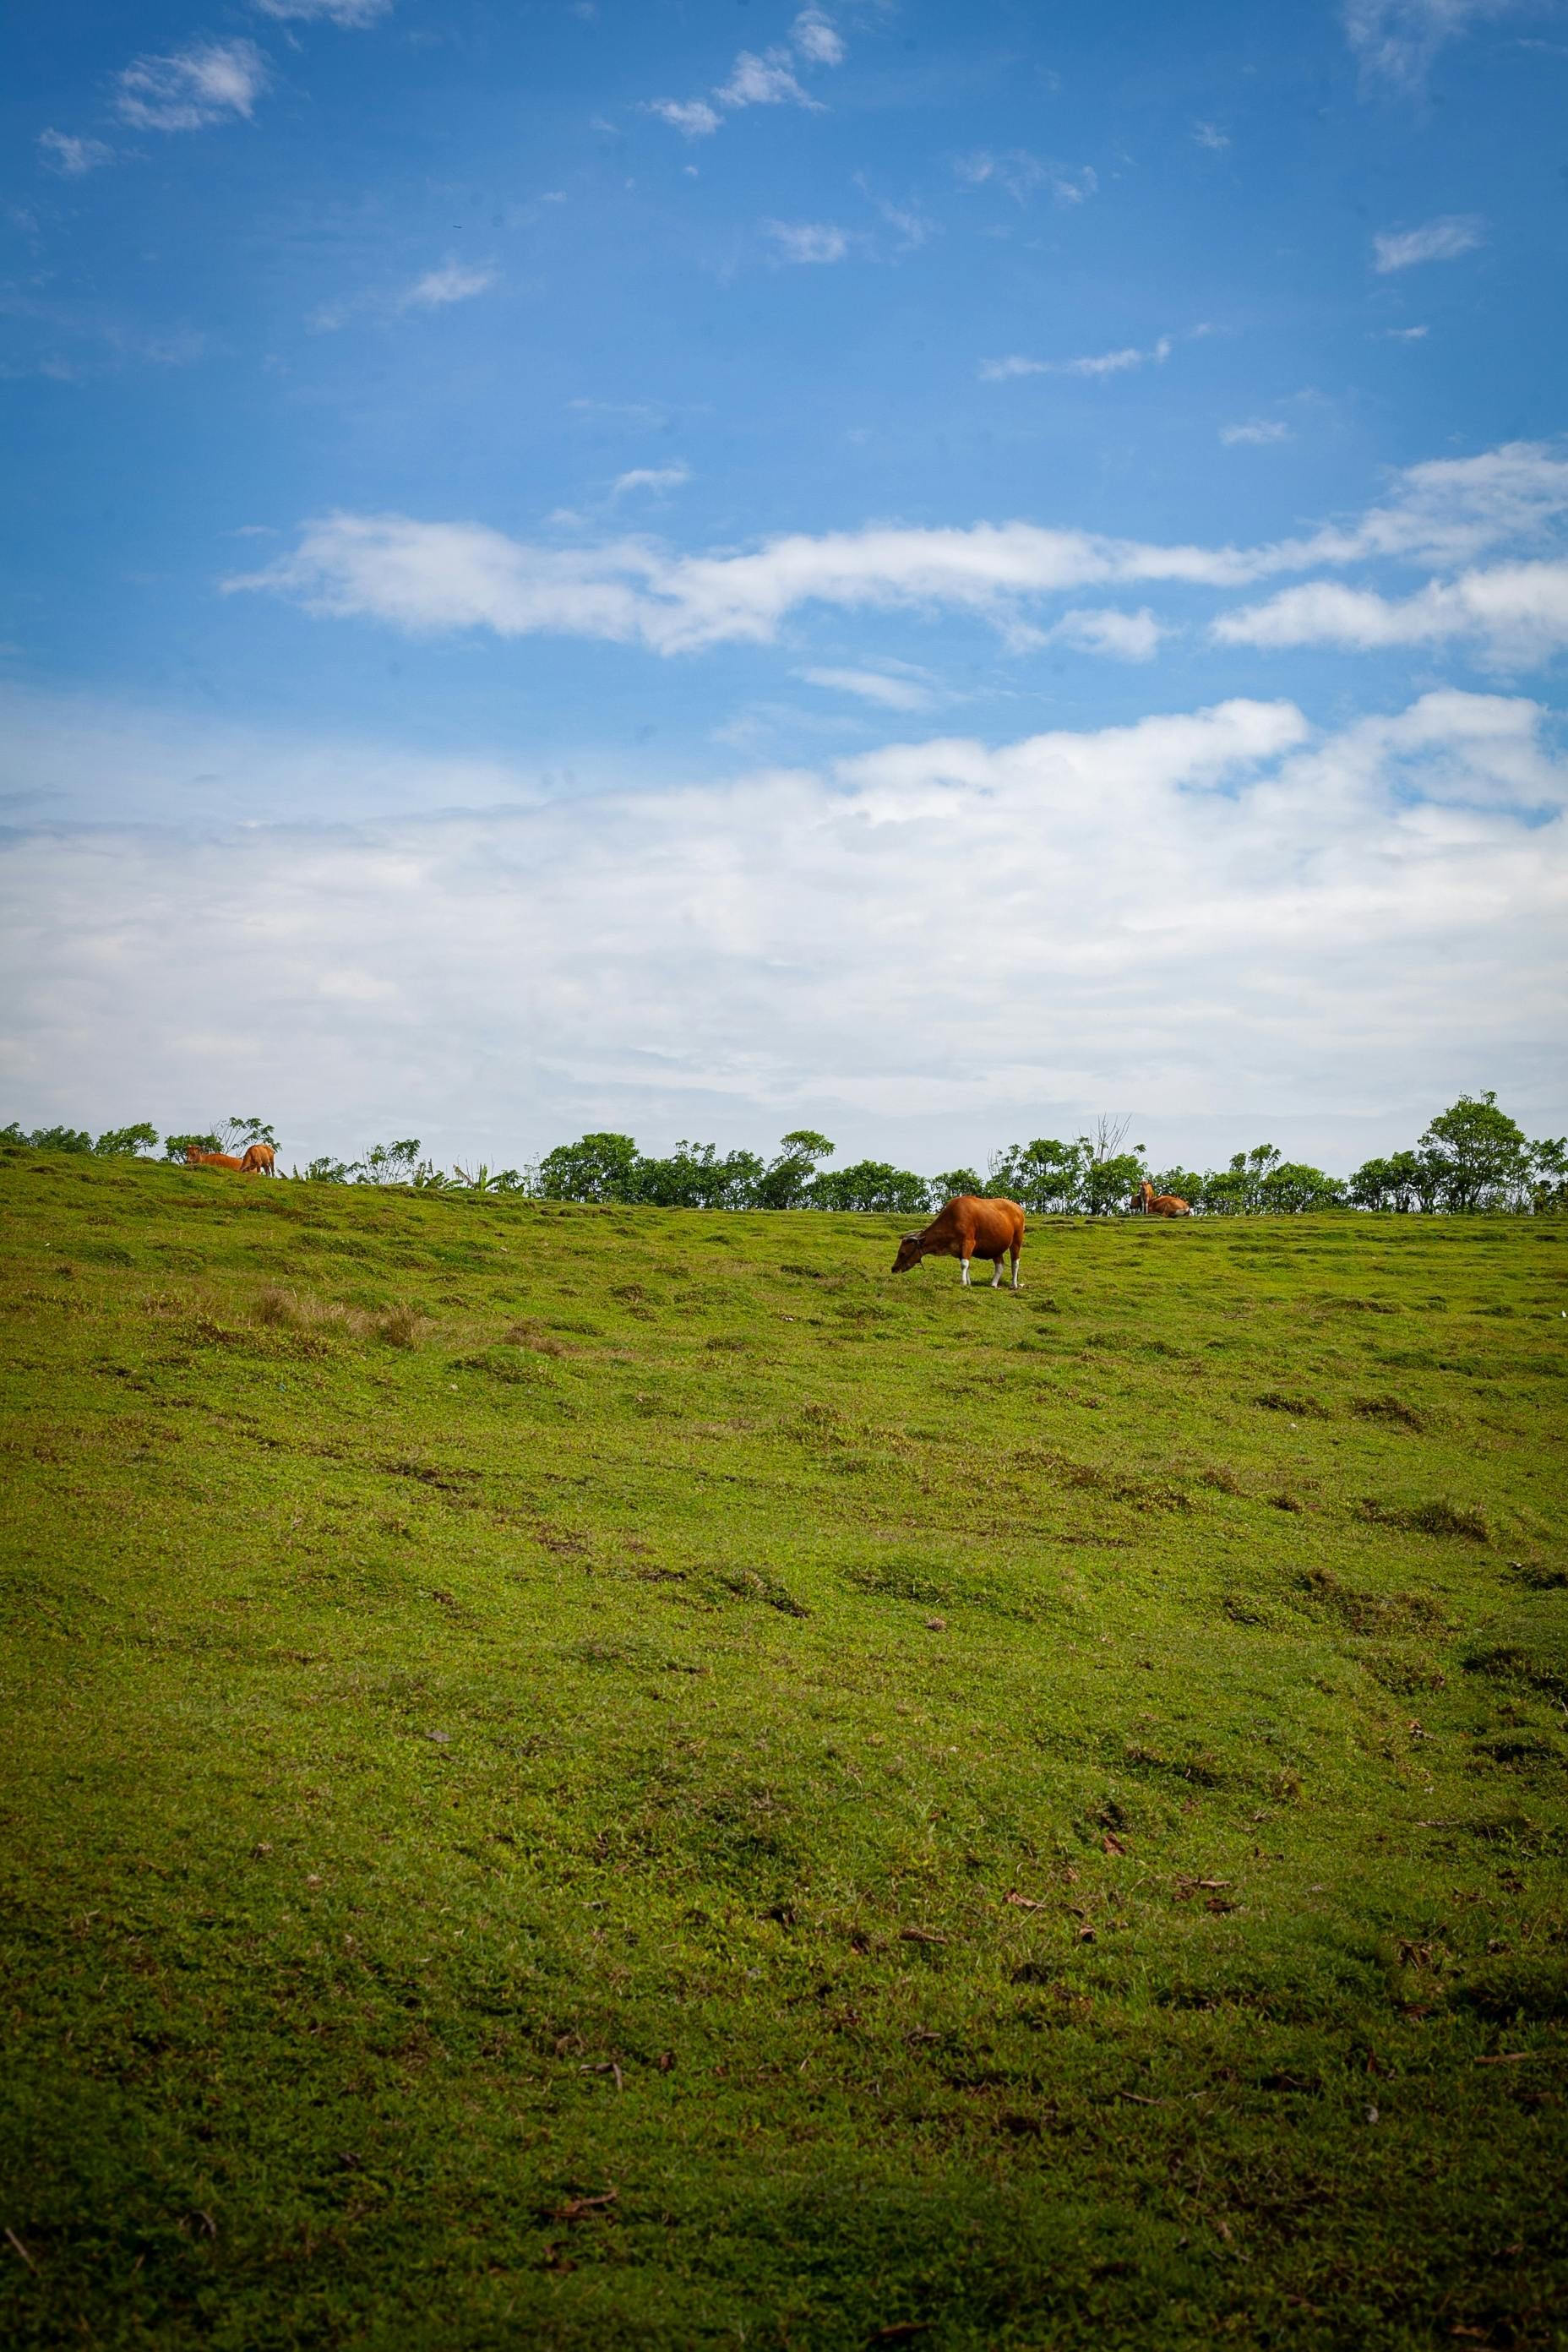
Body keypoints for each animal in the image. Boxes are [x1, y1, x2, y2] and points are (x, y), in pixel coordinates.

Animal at [892, 1196, 1025, 1290]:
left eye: (902, 1253)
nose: (894, 1269)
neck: (953, 1219)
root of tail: (1018, 1208)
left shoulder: (968, 1242)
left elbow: (964, 1264)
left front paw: (963, 1282)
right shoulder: (959, 1249)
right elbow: (966, 1265)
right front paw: (968, 1283)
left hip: (1016, 1241)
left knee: (1015, 1262)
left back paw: (1014, 1284)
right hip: (996, 1247)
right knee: (1000, 1265)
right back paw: (993, 1284)